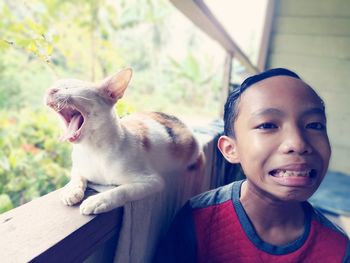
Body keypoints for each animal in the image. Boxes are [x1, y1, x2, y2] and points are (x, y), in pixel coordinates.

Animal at [45, 69, 202, 216]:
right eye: (53, 87)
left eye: (71, 87)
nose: (50, 90)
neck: (92, 149)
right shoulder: (78, 166)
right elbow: (77, 175)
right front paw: (71, 190)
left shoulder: (152, 181)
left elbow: (122, 190)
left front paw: (99, 200)